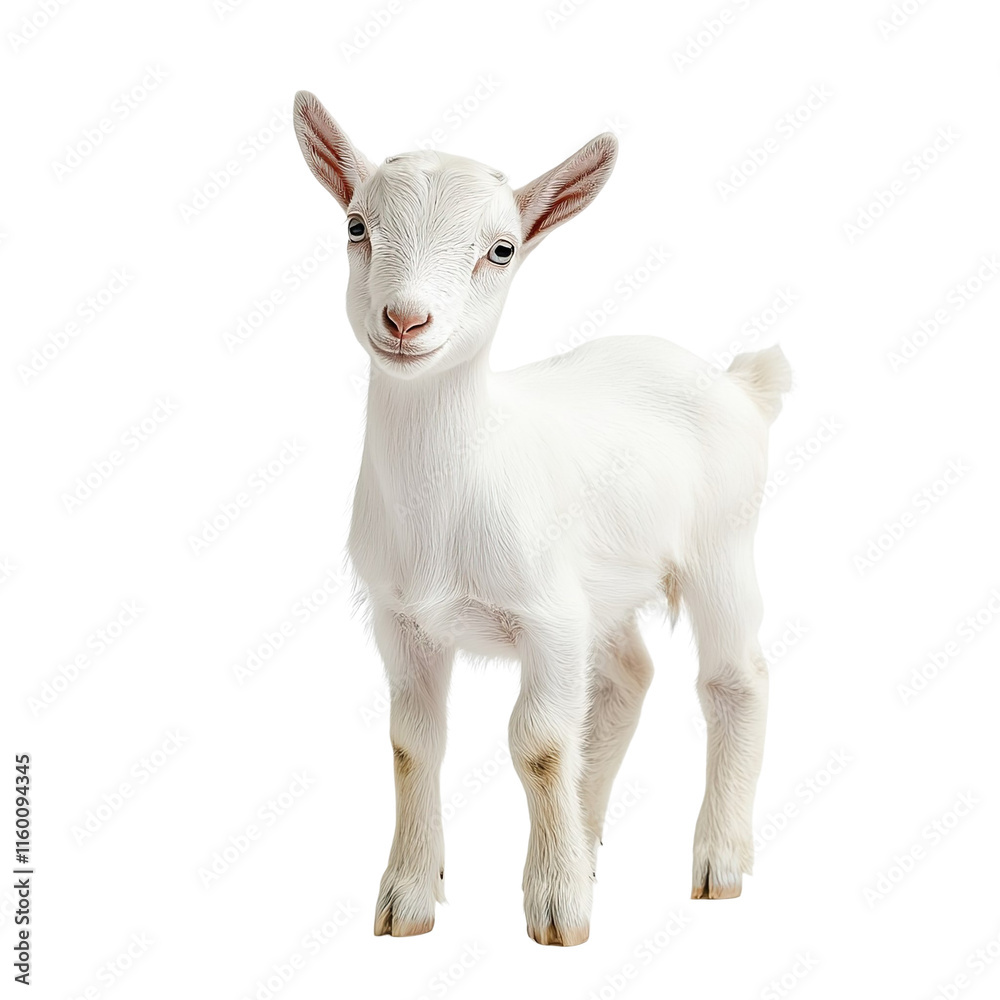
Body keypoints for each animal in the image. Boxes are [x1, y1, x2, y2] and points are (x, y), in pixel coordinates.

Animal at [293, 90, 792, 946]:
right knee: (628, 677)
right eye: (357, 226)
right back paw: (588, 841)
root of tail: (739, 381)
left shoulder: (548, 617)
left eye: (501, 249)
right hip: (605, 588)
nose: (405, 320)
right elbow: (412, 744)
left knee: (736, 679)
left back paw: (717, 862)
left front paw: (557, 908)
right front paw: (410, 897)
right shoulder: (402, 620)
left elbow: (540, 744)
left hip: (723, 545)